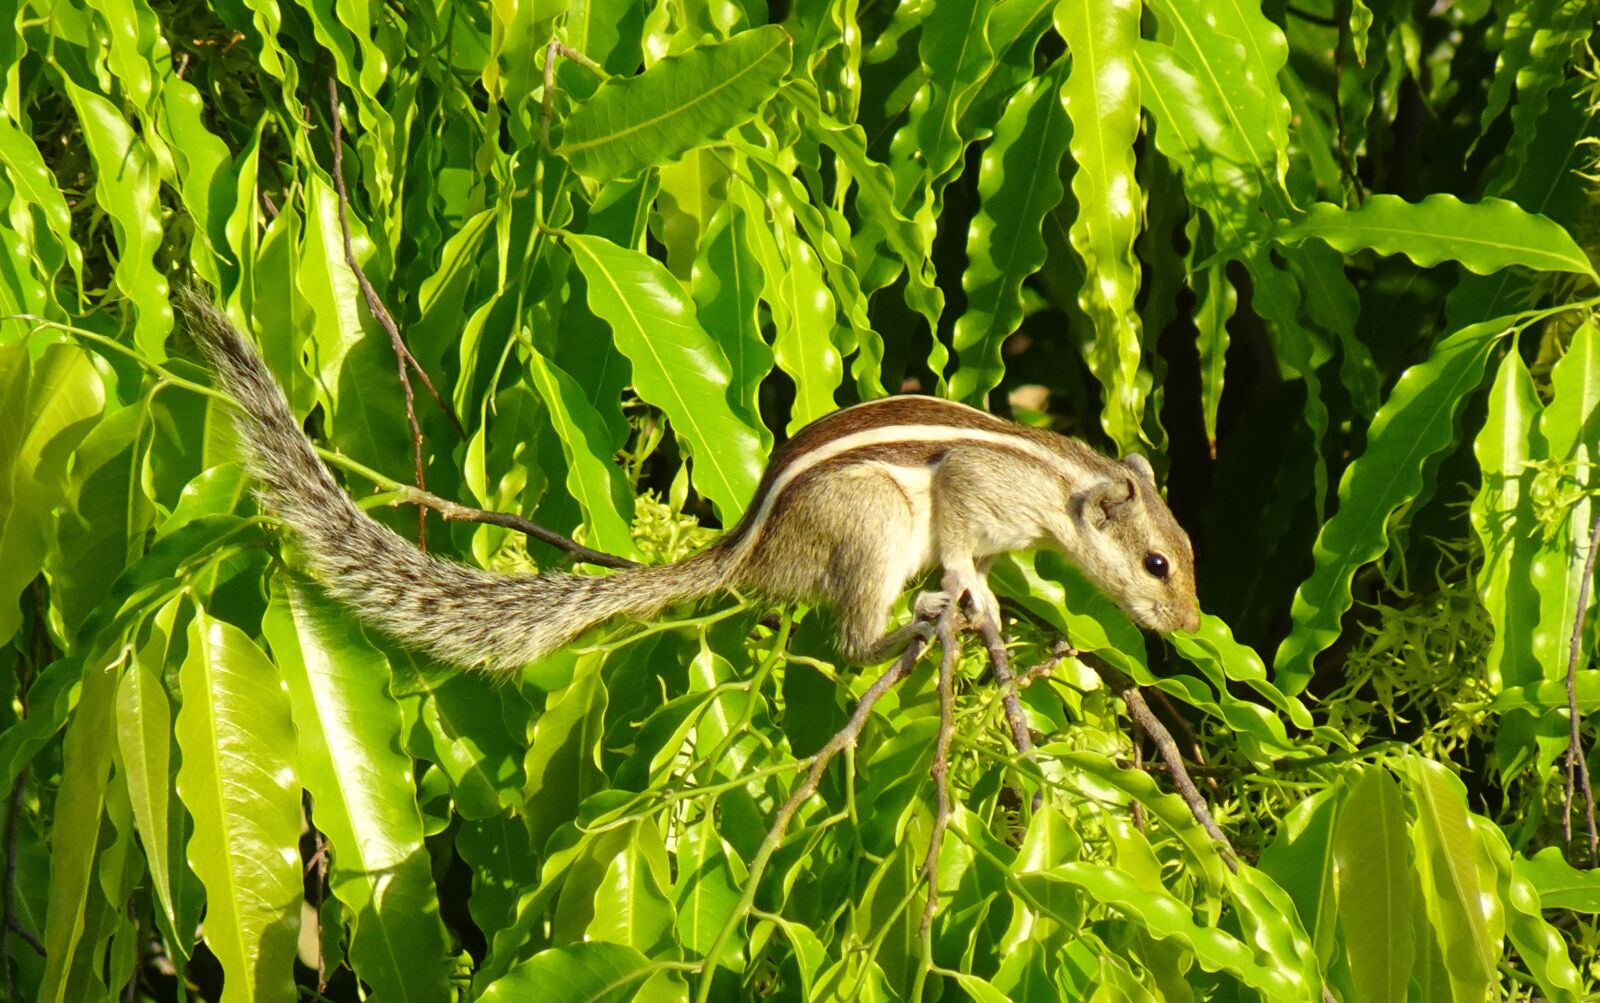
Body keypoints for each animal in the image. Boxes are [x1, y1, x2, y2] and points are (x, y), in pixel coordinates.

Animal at [186, 294, 1201, 674]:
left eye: (1187, 551)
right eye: (1155, 563)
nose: (1191, 624)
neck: (1062, 479)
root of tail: (748, 554)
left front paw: (994, 605)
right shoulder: (969, 491)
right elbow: (959, 543)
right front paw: (973, 598)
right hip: (871, 523)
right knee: (846, 640)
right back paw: (900, 629)